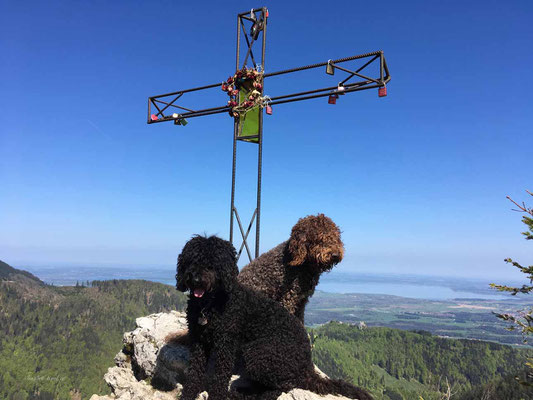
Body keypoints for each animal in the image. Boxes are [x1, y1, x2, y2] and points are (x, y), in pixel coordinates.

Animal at [177, 234, 372, 400]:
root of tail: (307, 365)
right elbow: (194, 371)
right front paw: (188, 393)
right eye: (191, 260)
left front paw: (217, 395)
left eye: (212, 263)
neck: (209, 304)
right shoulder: (198, 340)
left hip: (259, 353)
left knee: (282, 387)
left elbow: (220, 375)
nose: (195, 279)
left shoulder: (226, 343)